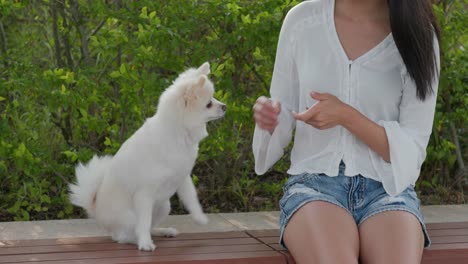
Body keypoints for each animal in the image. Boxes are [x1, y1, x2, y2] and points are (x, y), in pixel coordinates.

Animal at [68, 62, 227, 252]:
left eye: (214, 99)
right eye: (209, 104)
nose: (224, 106)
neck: (178, 132)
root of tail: (96, 210)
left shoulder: (182, 177)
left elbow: (191, 198)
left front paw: (200, 218)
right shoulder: (144, 194)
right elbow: (143, 223)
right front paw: (144, 243)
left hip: (164, 205)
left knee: (149, 226)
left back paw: (163, 231)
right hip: (131, 216)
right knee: (123, 236)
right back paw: (138, 240)